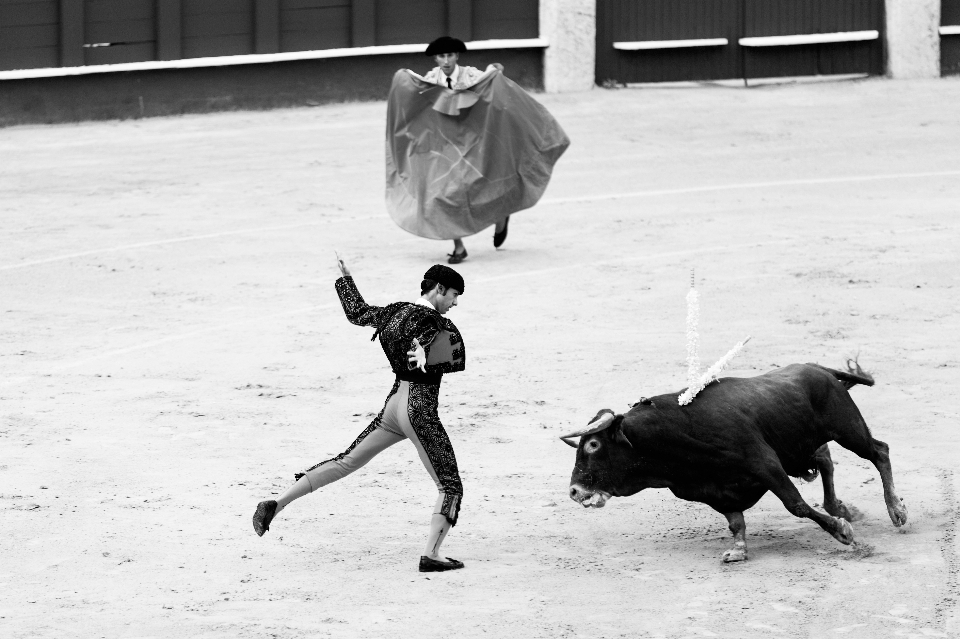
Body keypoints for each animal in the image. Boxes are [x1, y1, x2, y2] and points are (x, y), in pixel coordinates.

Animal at [564, 362, 908, 564]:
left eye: (593, 444)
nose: (574, 491)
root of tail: (818, 369)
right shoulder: (711, 490)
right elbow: (735, 521)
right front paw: (738, 549)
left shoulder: (766, 465)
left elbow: (796, 505)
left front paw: (842, 532)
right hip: (802, 447)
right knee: (825, 459)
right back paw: (840, 507)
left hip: (847, 428)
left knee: (879, 452)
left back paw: (896, 511)